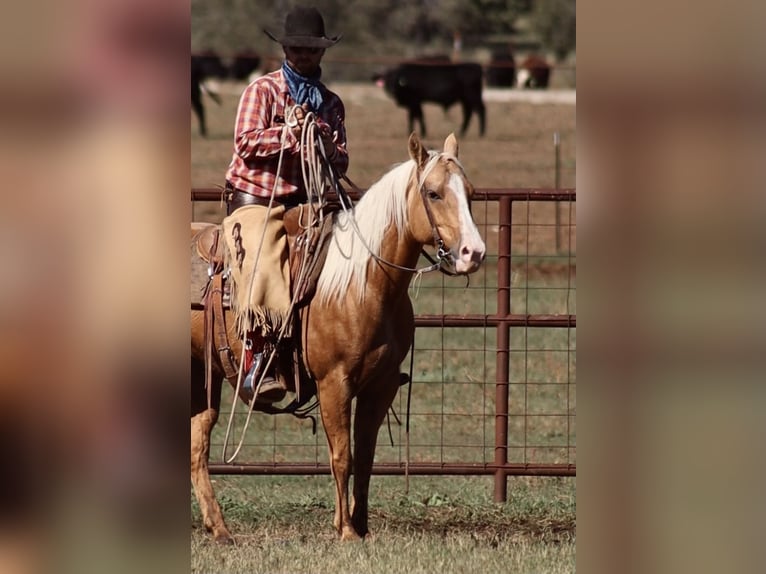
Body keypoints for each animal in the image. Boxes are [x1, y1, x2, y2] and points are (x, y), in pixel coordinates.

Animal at [190, 133, 486, 544]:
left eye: (470, 192)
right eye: (433, 192)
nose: (474, 253)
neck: (363, 283)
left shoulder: (381, 385)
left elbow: (365, 456)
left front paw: (361, 526)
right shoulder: (335, 383)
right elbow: (341, 455)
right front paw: (345, 530)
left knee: (196, 446)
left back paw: (219, 528)